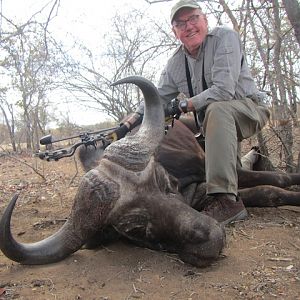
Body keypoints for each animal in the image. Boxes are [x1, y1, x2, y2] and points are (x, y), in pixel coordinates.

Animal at [0, 75, 300, 268]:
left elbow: (275, 182)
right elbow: (265, 192)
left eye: (165, 183)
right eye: (136, 227)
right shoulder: (203, 194)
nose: (211, 236)